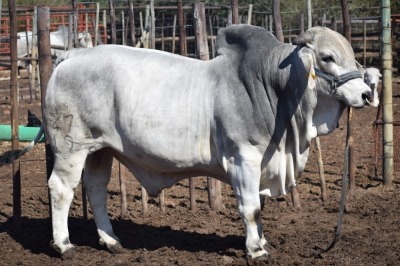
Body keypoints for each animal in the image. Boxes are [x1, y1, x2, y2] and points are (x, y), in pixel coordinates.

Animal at [0, 25, 376, 262]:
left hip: (100, 149)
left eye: (351, 55)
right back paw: (64, 245)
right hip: (71, 148)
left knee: (95, 190)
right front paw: (257, 250)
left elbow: (259, 206)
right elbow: (251, 208)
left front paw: (262, 241)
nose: (366, 94)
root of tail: (71, 57)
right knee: (61, 189)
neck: (272, 87)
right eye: (327, 57)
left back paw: (112, 241)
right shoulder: (244, 159)